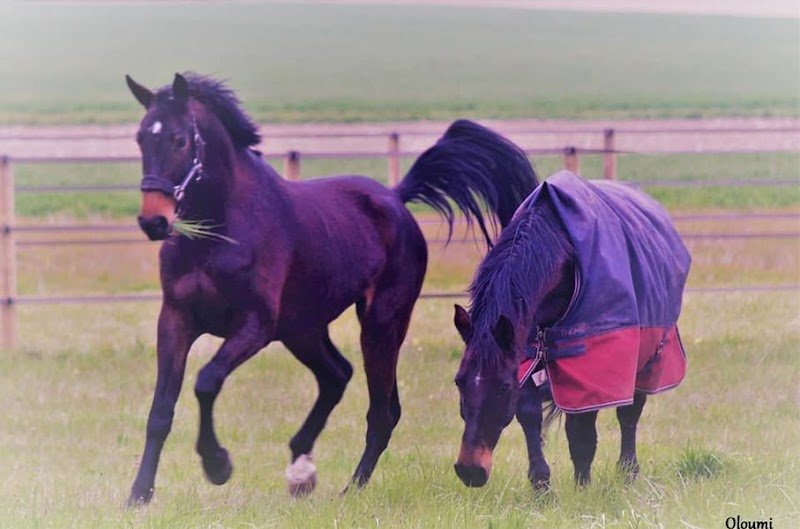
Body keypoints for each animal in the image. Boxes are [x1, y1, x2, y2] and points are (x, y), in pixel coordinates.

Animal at [123, 72, 539, 506]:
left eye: (179, 140)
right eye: (140, 137)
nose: (153, 221)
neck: (217, 234)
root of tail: (395, 197)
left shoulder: (255, 326)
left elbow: (206, 382)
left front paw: (217, 465)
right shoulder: (175, 319)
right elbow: (161, 410)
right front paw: (138, 494)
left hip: (379, 324)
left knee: (381, 411)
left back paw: (349, 488)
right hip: (302, 329)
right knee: (337, 375)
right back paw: (301, 469)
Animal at [452, 170, 691, 491]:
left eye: (502, 386)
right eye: (459, 381)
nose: (470, 471)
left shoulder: (593, 364)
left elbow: (583, 431)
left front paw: (582, 486)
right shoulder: (524, 353)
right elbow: (530, 415)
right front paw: (541, 485)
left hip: (648, 355)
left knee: (630, 412)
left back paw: (628, 471)